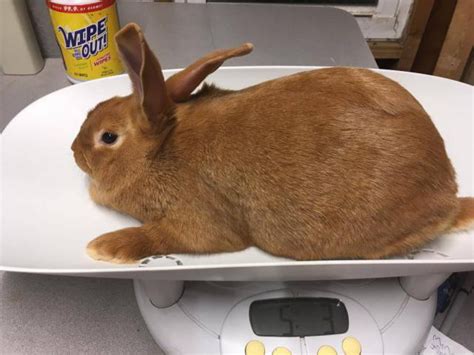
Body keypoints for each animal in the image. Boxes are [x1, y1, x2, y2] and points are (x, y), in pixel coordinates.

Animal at [71, 23, 474, 264]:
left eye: (108, 137)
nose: (74, 152)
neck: (159, 149)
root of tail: (448, 196)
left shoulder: (200, 222)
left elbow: (159, 235)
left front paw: (102, 247)